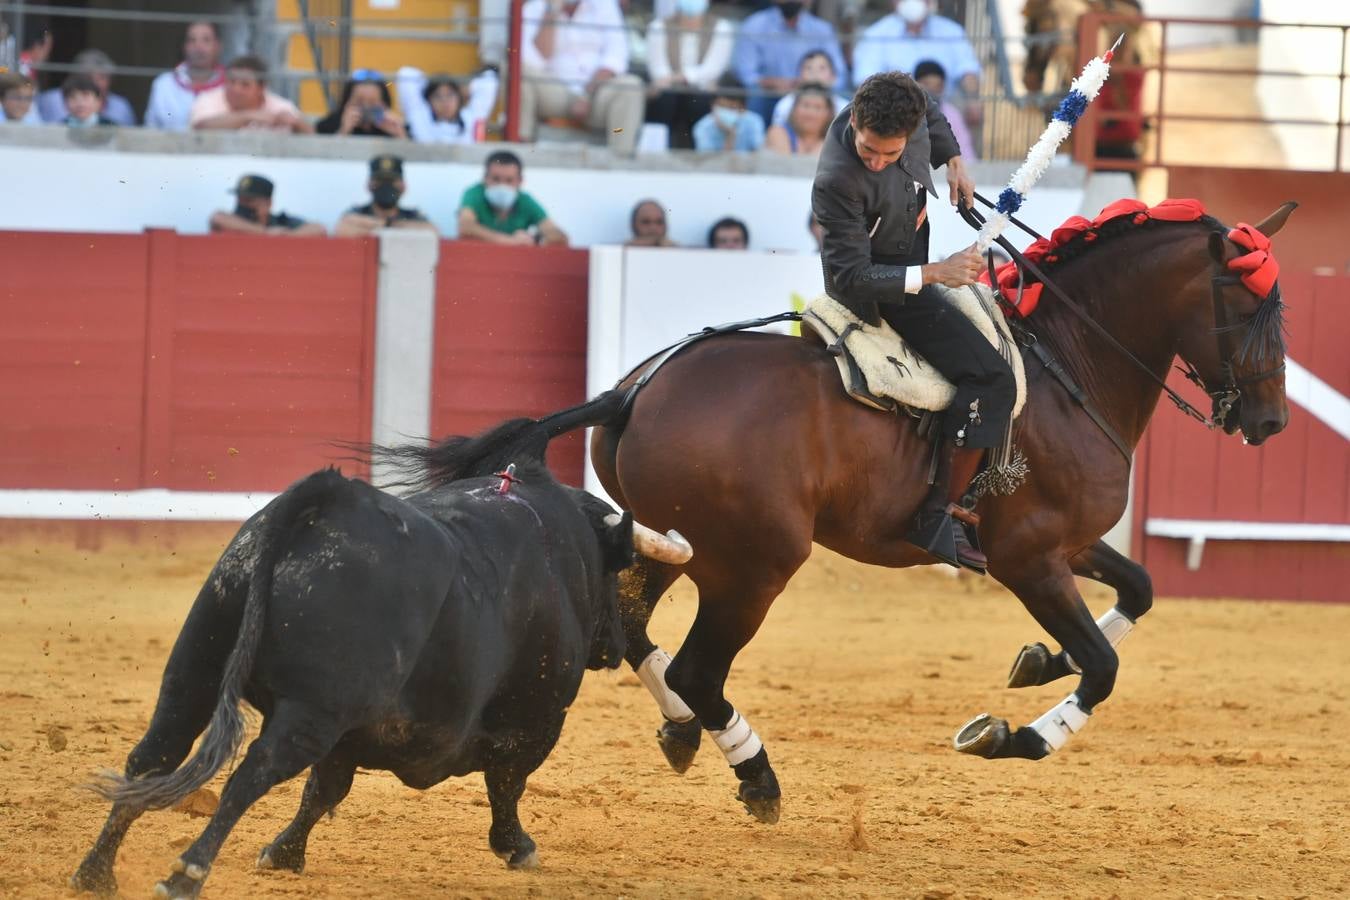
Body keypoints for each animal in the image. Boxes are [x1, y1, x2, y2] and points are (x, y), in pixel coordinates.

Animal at [72, 429, 653, 895]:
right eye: (614, 573)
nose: (616, 643)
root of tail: (324, 499)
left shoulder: (349, 733)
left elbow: (324, 789)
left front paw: (282, 855)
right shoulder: (537, 720)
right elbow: (507, 783)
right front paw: (517, 846)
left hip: (195, 668)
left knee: (153, 756)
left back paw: (94, 874)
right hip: (310, 712)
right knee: (250, 774)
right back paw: (185, 875)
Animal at [469, 201, 1290, 825]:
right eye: (1249, 305)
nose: (1272, 421)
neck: (1070, 368)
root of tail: (635, 391)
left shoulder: (1070, 544)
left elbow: (1139, 593)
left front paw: (1036, 661)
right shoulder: (1030, 559)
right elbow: (1104, 665)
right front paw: (1006, 735)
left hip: (667, 542)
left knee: (633, 629)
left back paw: (681, 732)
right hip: (753, 566)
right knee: (698, 668)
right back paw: (756, 776)